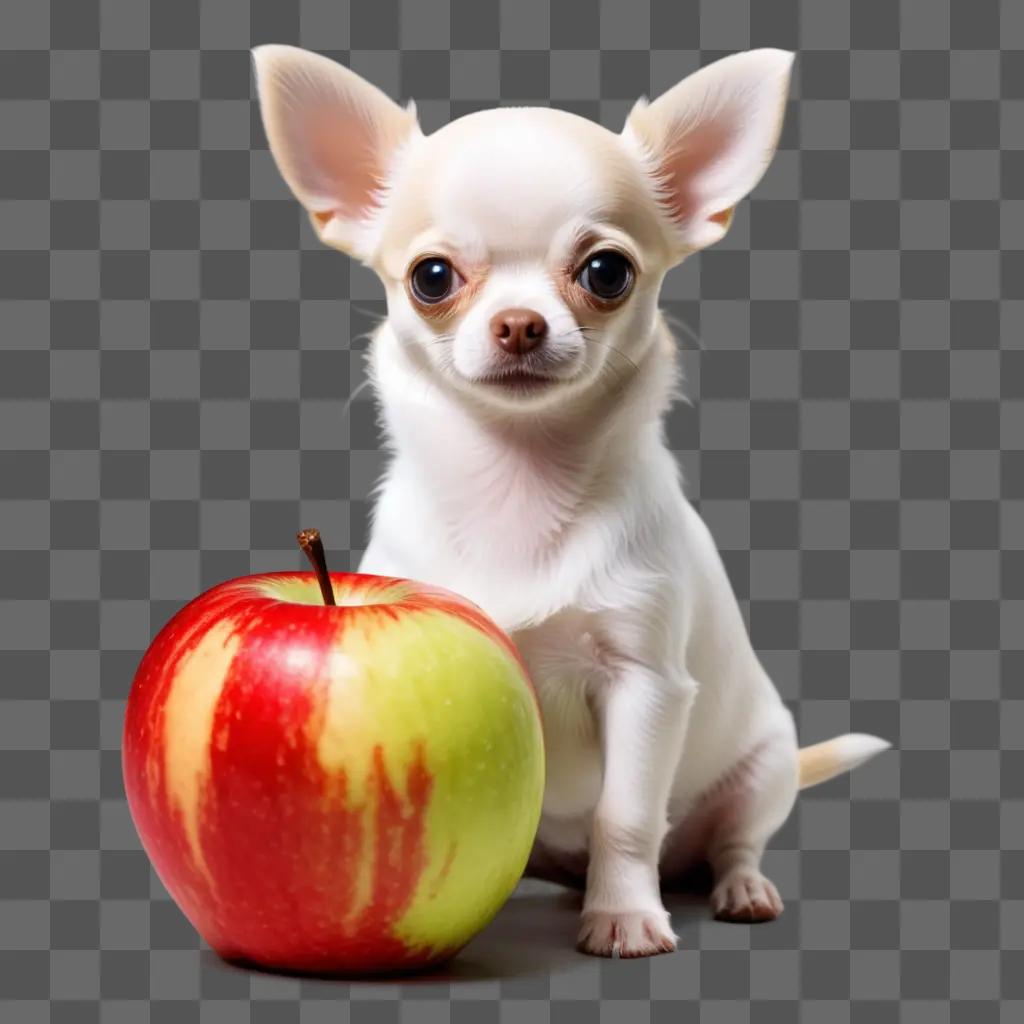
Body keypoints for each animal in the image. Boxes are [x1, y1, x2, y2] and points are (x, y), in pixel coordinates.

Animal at [251, 46, 884, 958]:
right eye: (431, 278)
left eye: (606, 272)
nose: (520, 323)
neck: (519, 479)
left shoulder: (648, 686)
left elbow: (627, 816)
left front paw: (624, 917)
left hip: (764, 763)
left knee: (731, 839)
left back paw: (738, 888)